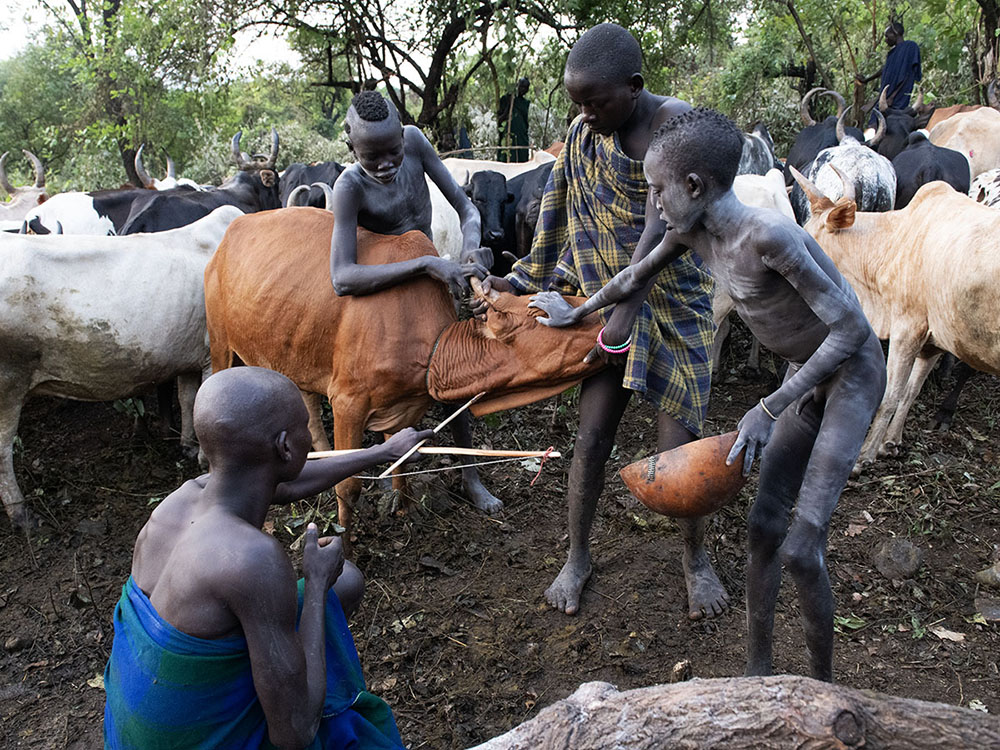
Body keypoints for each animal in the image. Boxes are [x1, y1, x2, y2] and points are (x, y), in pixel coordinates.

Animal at [0, 203, 242, 524]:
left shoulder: (192, 356)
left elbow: (188, 399)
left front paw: (188, 446)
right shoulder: (211, 354)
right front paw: (204, 458)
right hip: (9, 383)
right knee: (3, 450)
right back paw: (20, 513)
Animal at [199, 206, 596, 536]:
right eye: (538, 312)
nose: (603, 315)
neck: (433, 348)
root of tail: (232, 232)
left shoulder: (400, 405)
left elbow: (400, 456)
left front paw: (404, 508)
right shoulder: (347, 402)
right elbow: (349, 484)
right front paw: (346, 547)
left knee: (307, 404)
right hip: (220, 342)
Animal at [788, 169, 1000, 476]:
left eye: (808, 234)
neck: (894, 242)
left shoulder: (907, 330)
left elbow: (890, 396)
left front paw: (863, 457)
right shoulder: (932, 341)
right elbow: (911, 391)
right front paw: (890, 442)